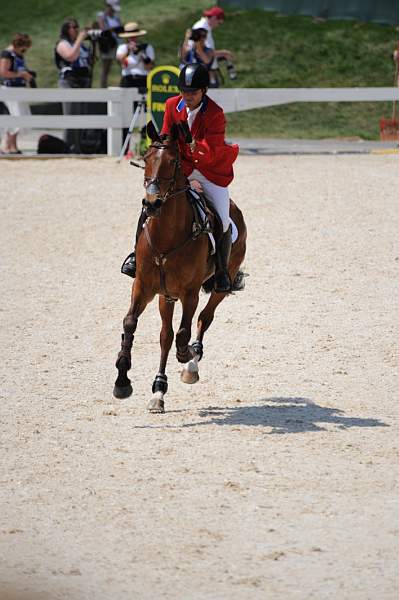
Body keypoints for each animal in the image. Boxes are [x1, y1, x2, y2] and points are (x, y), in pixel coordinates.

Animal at [113, 122, 247, 412]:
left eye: (174, 162)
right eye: (146, 159)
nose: (151, 203)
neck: (167, 236)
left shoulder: (190, 292)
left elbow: (184, 332)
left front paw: (187, 355)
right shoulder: (144, 286)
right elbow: (130, 323)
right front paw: (122, 380)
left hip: (220, 283)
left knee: (204, 318)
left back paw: (192, 364)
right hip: (166, 295)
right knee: (166, 335)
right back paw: (158, 390)